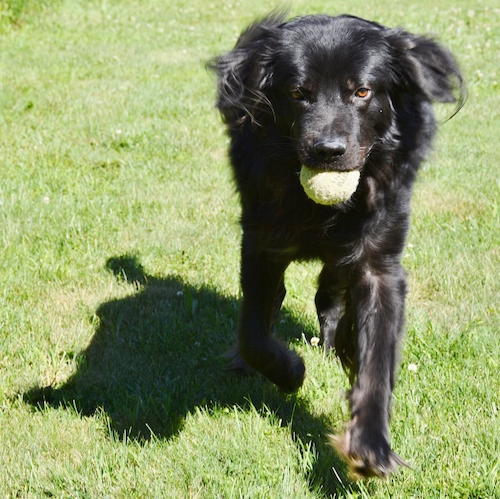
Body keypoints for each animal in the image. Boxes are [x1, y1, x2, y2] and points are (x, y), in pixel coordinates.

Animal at [208, 13, 464, 478]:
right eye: (297, 93)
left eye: (362, 91)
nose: (328, 151)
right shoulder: (260, 244)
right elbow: (254, 333)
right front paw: (289, 370)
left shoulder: (380, 261)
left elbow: (377, 357)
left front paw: (370, 444)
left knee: (330, 288)